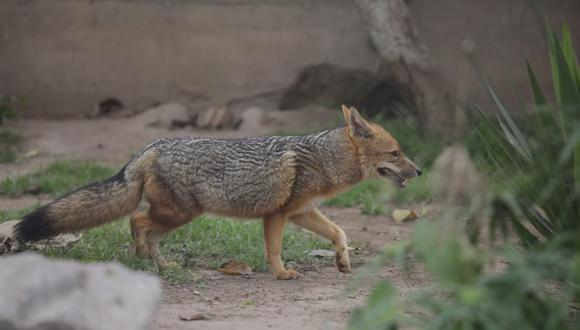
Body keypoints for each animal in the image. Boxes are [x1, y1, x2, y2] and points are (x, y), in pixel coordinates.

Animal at [14, 105, 422, 278]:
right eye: (396, 153)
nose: (419, 171)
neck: (324, 158)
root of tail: (154, 145)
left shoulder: (302, 211)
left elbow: (340, 233)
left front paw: (342, 262)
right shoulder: (277, 215)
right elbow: (274, 250)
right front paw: (282, 274)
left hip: (178, 218)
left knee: (148, 231)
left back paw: (159, 264)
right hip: (178, 214)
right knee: (136, 219)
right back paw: (140, 255)